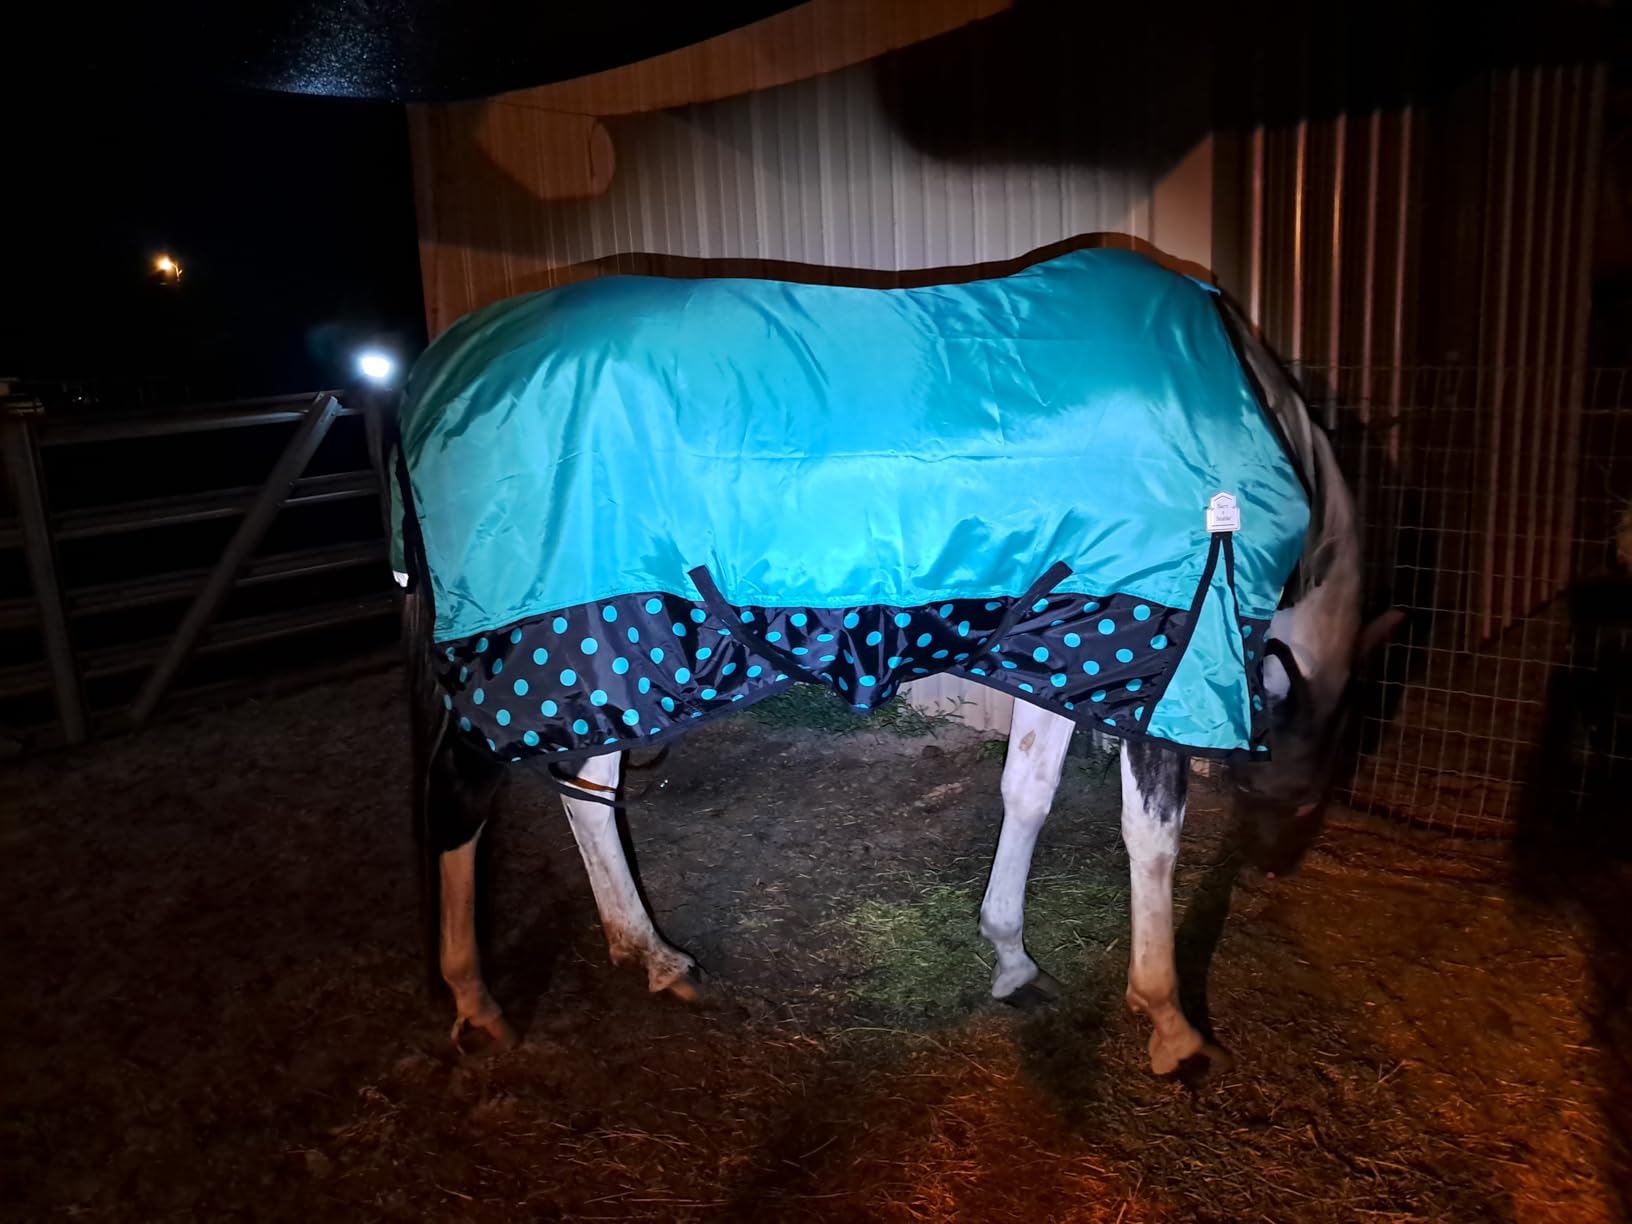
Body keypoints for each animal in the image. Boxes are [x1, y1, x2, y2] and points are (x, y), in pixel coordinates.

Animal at [391, 247, 1400, 1075]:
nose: (1279, 863)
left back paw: (654, 957)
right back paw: (476, 1004)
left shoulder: (1063, 642)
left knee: (588, 792)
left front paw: (1011, 958)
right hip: (541, 653)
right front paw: (1172, 1026)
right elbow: (1150, 841)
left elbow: (1027, 794)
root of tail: (431, 378)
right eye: (1316, 764)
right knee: (460, 798)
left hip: (607, 654)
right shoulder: (1171, 661)